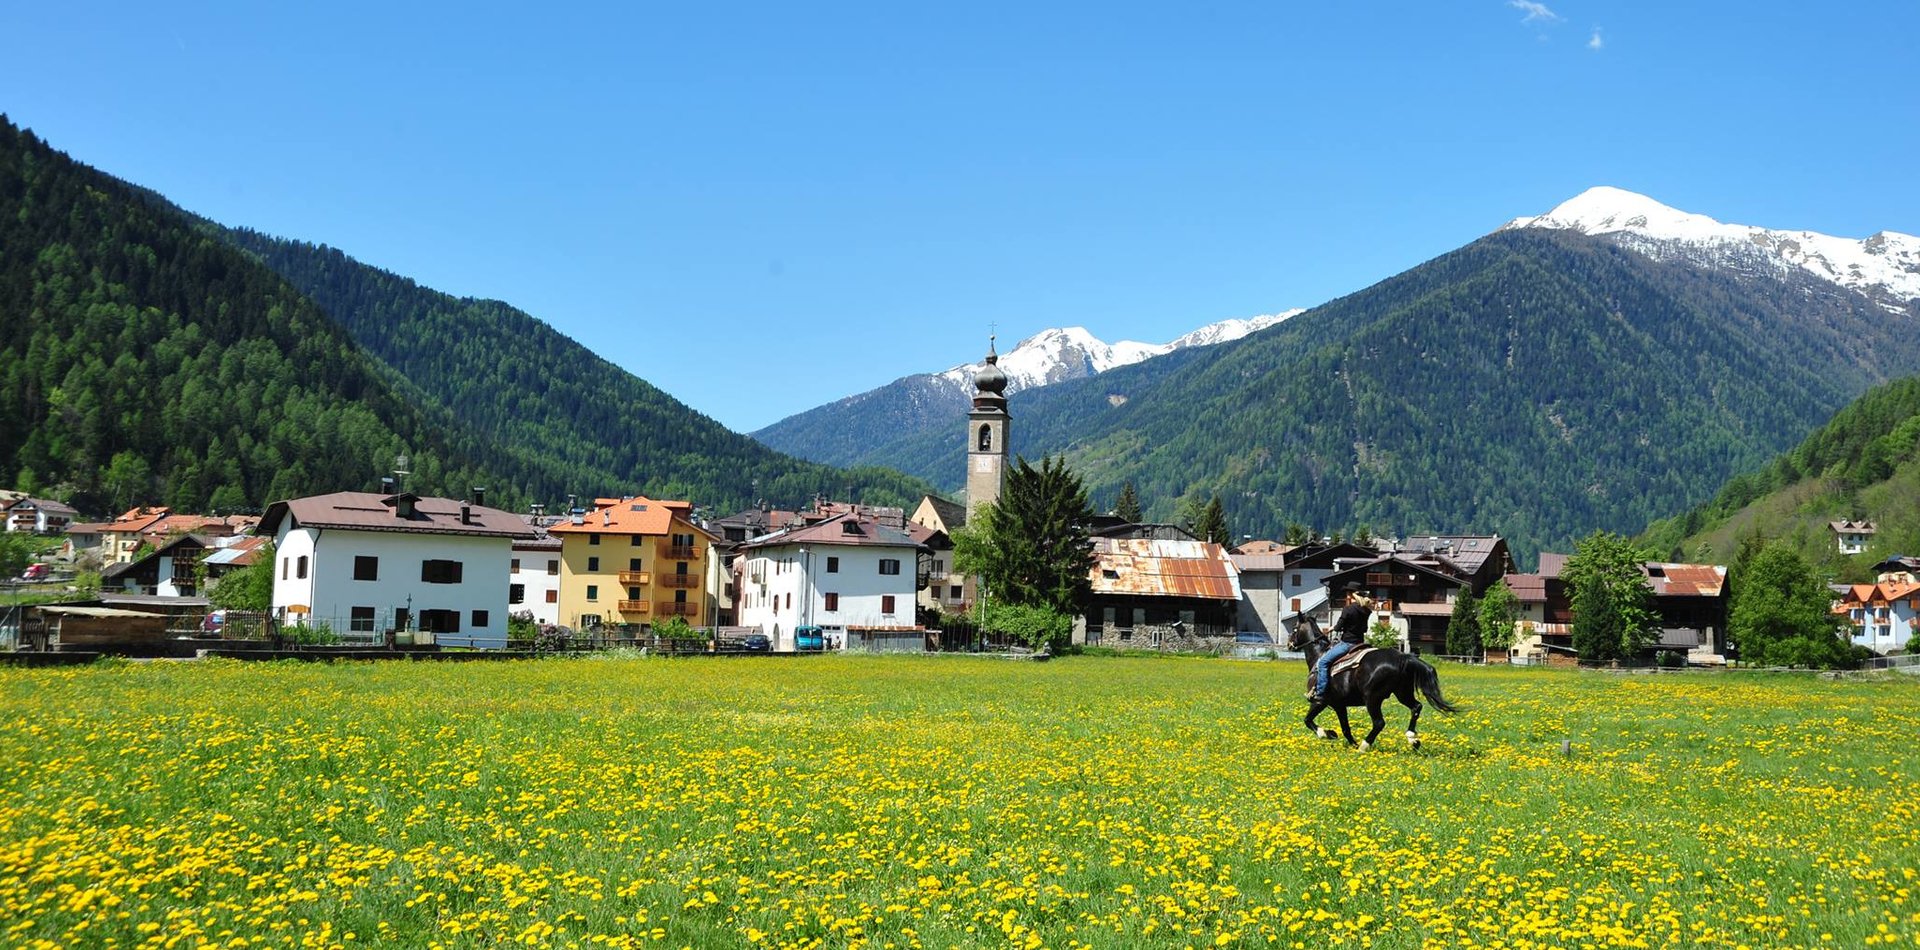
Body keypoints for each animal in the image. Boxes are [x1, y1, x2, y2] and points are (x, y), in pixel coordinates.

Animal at [1290, 617, 1451, 752]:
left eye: (1294, 628)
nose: (1289, 644)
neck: (1319, 656)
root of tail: (1402, 658)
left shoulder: (1320, 701)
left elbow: (1307, 720)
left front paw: (1327, 734)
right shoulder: (1339, 705)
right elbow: (1345, 728)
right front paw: (1349, 742)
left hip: (1372, 699)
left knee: (1379, 723)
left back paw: (1364, 746)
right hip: (1402, 693)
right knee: (1416, 707)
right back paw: (1413, 739)